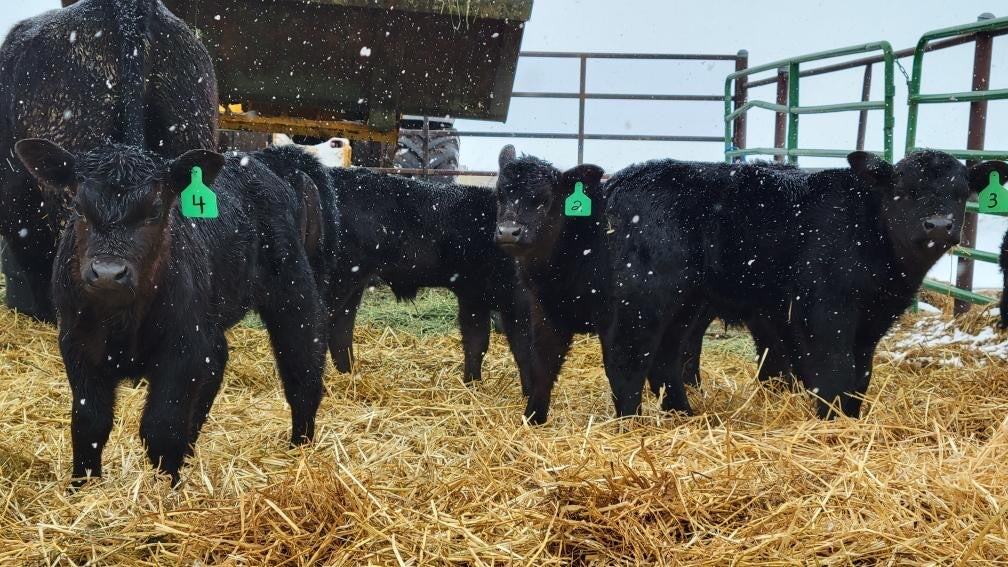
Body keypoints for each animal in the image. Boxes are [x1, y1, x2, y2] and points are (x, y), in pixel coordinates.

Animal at [15, 139, 325, 486]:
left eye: (155, 210)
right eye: (79, 207)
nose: (108, 273)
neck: (122, 321)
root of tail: (264, 159)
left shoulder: (181, 348)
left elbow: (162, 425)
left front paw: (168, 487)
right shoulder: (77, 344)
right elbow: (90, 423)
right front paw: (82, 485)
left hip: (293, 289)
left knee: (302, 368)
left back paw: (300, 451)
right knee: (218, 362)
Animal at [495, 145, 1007, 423]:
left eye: (959, 192)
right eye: (904, 190)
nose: (938, 225)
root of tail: (621, 183)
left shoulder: (872, 322)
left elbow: (859, 378)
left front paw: (851, 420)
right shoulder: (823, 311)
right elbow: (833, 372)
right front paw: (830, 427)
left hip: (684, 306)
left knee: (666, 362)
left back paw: (682, 414)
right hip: (643, 302)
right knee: (629, 363)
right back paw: (631, 424)